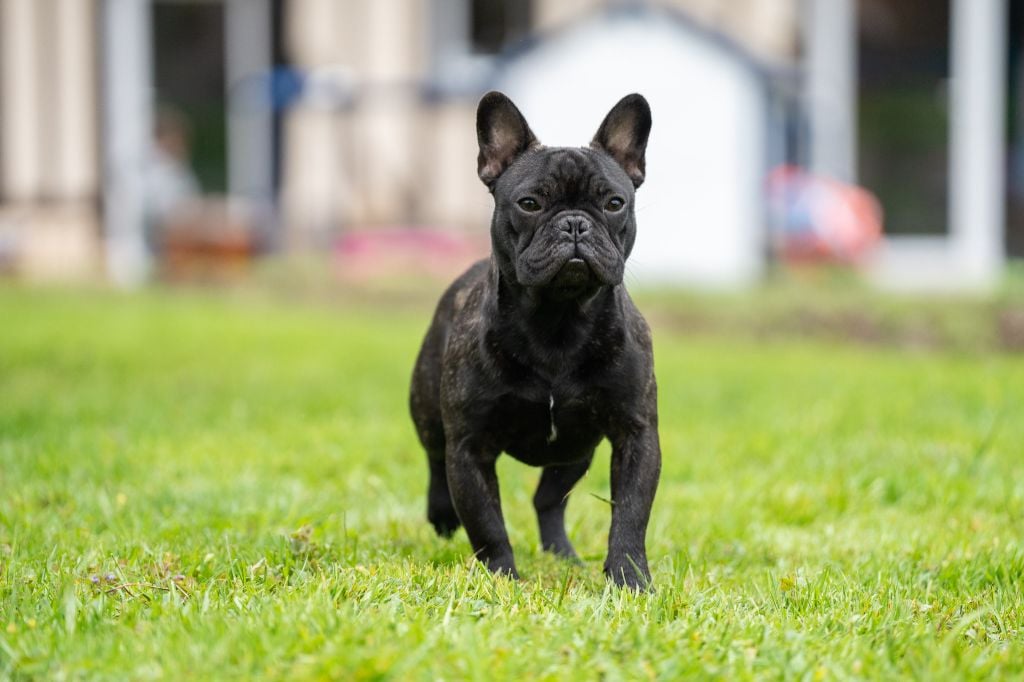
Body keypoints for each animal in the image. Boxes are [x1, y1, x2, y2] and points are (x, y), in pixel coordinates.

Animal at [409, 91, 663, 589]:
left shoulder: (636, 435)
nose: (575, 224)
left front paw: (629, 579)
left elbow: (630, 514)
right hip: (428, 410)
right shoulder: (469, 447)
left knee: (548, 500)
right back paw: (442, 515)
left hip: (574, 453)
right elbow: (486, 523)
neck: (557, 320)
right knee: (434, 460)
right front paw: (501, 578)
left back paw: (562, 554)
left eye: (614, 202)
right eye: (528, 203)